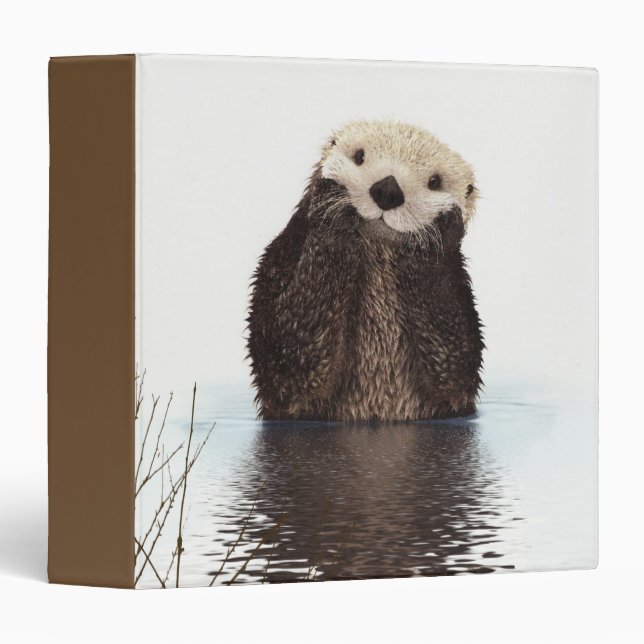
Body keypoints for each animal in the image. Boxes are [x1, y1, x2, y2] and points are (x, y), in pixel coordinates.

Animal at [247, 120, 483, 421]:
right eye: (359, 156)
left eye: (435, 182)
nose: (388, 190)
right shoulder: (279, 260)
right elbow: (288, 357)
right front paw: (332, 204)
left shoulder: (458, 292)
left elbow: (455, 366)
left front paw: (437, 232)